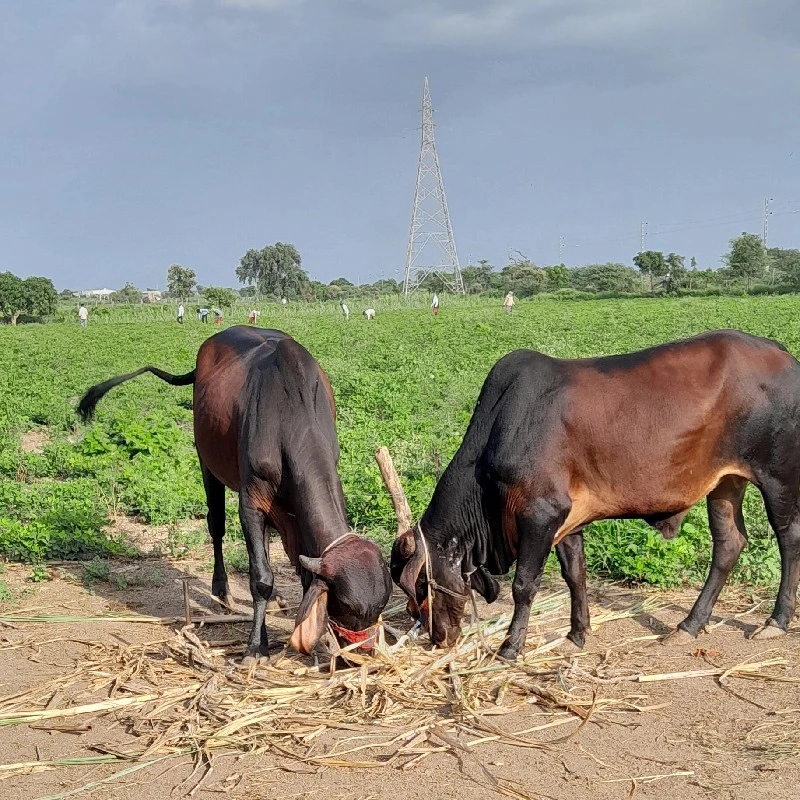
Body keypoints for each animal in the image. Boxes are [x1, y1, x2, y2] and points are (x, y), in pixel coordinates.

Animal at [79, 324, 392, 664]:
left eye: (381, 606)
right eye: (347, 606)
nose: (361, 654)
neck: (290, 418)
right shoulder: (250, 502)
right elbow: (260, 578)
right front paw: (256, 646)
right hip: (206, 461)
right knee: (216, 525)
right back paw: (221, 589)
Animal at [390, 330, 800, 656]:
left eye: (421, 585)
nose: (437, 637)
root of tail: (782, 353)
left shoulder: (541, 512)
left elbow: (525, 584)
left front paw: (511, 646)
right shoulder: (567, 519)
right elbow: (575, 574)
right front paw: (578, 632)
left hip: (777, 476)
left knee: (789, 539)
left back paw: (776, 621)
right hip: (725, 482)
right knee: (729, 543)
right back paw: (689, 625)